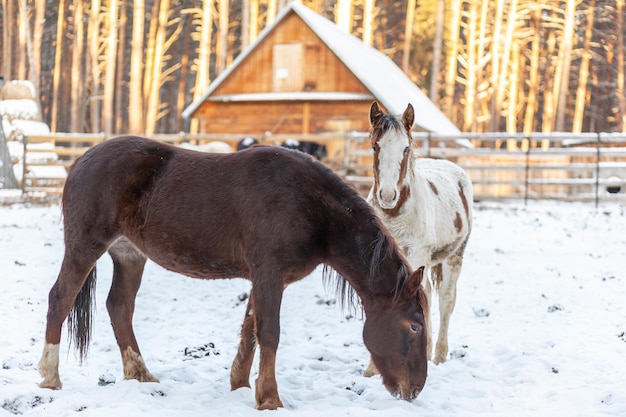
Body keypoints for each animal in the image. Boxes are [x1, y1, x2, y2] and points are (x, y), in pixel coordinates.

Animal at [37, 136, 428, 410]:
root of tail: (82, 160)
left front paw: (241, 386)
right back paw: (50, 377)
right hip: (85, 246)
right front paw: (269, 398)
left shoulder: (266, 278)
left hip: (130, 255)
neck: (309, 205)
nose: (415, 389)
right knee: (60, 298)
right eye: (414, 326)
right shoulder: (269, 273)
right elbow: (269, 333)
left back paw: (141, 375)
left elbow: (249, 331)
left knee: (119, 307)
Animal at [364, 102, 470, 372]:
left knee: (445, 301)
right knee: (429, 295)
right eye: (375, 146)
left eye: (406, 148)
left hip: (454, 257)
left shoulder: (417, 255)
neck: (395, 215)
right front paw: (372, 368)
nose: (387, 195)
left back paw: (439, 354)